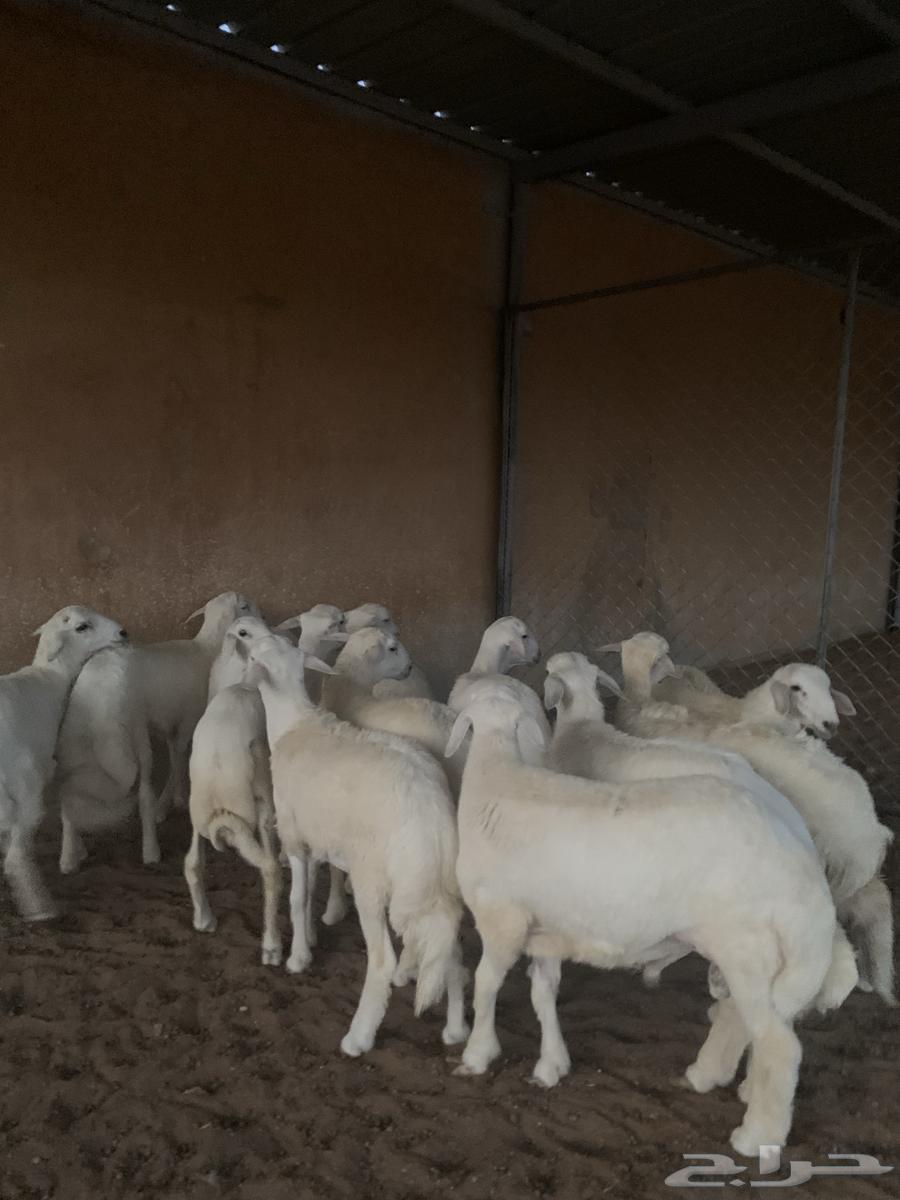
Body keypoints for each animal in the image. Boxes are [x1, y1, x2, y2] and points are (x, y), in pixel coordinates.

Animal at [0, 606, 127, 919]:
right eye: (82, 627)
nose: (123, 633)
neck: (50, 676)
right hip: (26, 787)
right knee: (16, 856)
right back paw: (41, 908)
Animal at [56, 592, 257, 872]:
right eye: (245, 606)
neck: (206, 648)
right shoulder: (188, 721)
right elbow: (178, 758)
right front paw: (170, 804)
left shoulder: (168, 724)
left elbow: (175, 757)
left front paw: (174, 800)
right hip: (135, 731)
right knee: (142, 791)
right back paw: (150, 850)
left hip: (73, 740)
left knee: (67, 796)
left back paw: (69, 855)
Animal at [184, 607, 348, 964]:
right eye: (245, 633)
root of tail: (218, 776)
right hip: (259, 801)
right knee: (270, 872)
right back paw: (272, 946)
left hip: (196, 811)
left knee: (192, 862)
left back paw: (204, 918)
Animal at [239, 629, 468, 1055]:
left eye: (253, 658)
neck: (294, 721)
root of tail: (432, 818)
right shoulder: (319, 835)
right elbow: (313, 888)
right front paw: (313, 936)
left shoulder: (294, 835)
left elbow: (297, 898)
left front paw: (297, 958)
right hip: (434, 887)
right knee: (450, 948)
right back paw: (457, 1029)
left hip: (373, 880)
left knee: (382, 961)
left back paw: (359, 1035)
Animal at [446, 677, 855, 1158]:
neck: (495, 777)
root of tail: (802, 867)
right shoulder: (547, 928)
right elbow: (543, 994)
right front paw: (551, 1064)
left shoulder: (501, 919)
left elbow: (486, 985)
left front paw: (477, 1054)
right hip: (763, 958)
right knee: (753, 1020)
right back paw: (715, 1078)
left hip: (748, 951)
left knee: (779, 1045)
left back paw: (756, 1136)